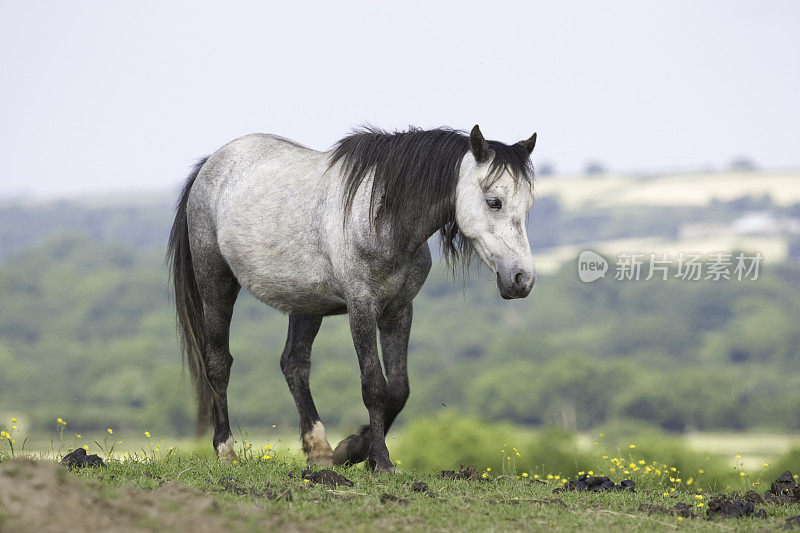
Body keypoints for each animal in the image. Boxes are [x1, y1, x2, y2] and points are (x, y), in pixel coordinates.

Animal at [170, 125, 536, 474]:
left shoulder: (399, 311)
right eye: (494, 201)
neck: (381, 218)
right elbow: (373, 386)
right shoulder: (362, 309)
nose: (523, 279)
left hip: (306, 305)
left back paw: (319, 450)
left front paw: (355, 450)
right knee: (218, 363)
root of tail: (211, 164)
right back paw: (226, 451)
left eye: (528, 205)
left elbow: (398, 389)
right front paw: (381, 462)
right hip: (216, 285)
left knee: (295, 364)